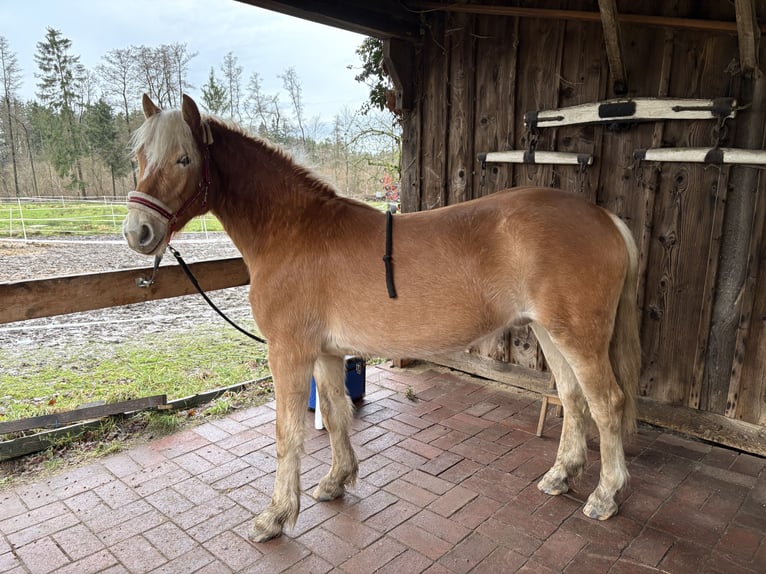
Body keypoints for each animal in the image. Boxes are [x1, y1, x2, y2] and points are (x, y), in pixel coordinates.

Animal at [123, 94, 644, 544]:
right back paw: (560, 475)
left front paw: (274, 517)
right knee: (573, 399)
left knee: (607, 404)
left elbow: (287, 433)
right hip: (550, 333)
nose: (138, 233)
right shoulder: (326, 353)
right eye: (139, 157)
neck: (294, 232)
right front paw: (336, 482)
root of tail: (606, 219)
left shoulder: (289, 351)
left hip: (579, 337)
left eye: (184, 159)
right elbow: (336, 415)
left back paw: (605, 496)